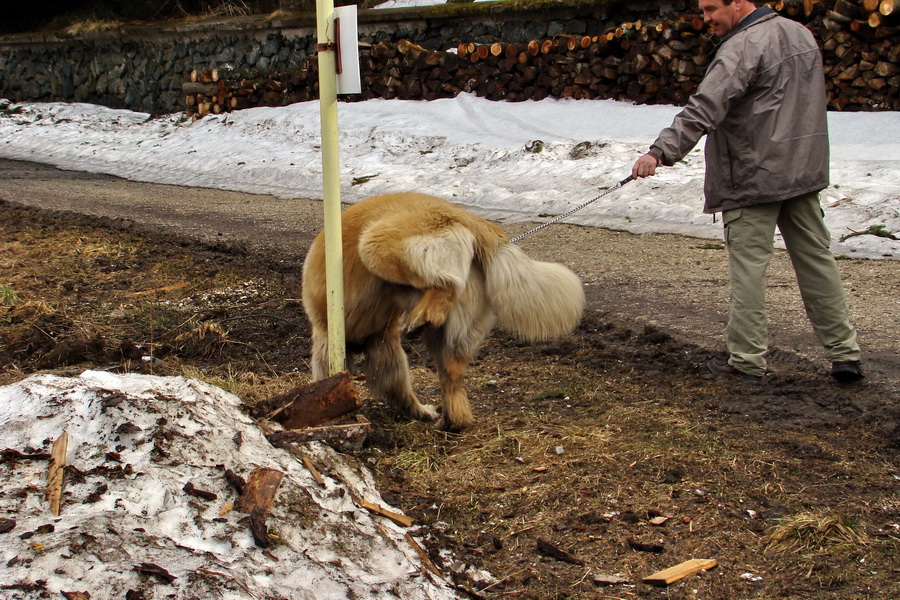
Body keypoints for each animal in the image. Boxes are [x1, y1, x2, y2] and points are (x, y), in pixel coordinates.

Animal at [302, 193, 584, 432]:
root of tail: (465, 216)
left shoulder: (330, 339)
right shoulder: (384, 345)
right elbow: (397, 384)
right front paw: (419, 411)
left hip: (376, 244)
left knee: (446, 284)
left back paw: (422, 316)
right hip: (456, 328)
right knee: (453, 377)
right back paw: (453, 420)